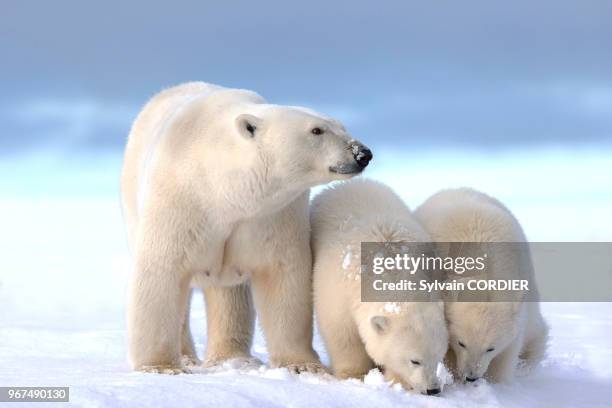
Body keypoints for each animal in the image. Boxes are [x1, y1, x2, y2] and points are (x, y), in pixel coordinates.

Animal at [117, 82, 370, 372]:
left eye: (342, 126)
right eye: (317, 130)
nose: (363, 153)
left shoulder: (272, 214)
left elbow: (283, 273)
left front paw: (302, 364)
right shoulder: (180, 200)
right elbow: (162, 269)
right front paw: (160, 367)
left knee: (229, 293)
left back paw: (233, 358)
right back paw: (190, 357)